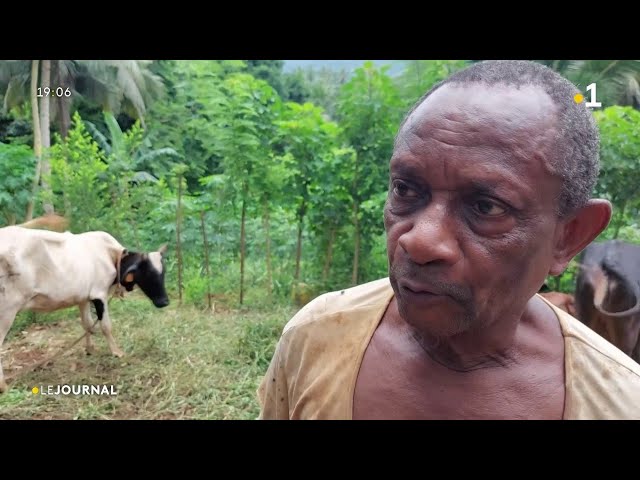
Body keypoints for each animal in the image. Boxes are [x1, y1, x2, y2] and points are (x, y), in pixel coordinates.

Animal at [0, 216, 169, 392]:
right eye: (148, 273)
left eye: (163, 273)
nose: (164, 302)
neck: (111, 255)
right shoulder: (99, 294)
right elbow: (106, 326)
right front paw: (117, 352)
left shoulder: (82, 297)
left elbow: (87, 324)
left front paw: (90, 349)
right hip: (8, 310)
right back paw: (3, 386)